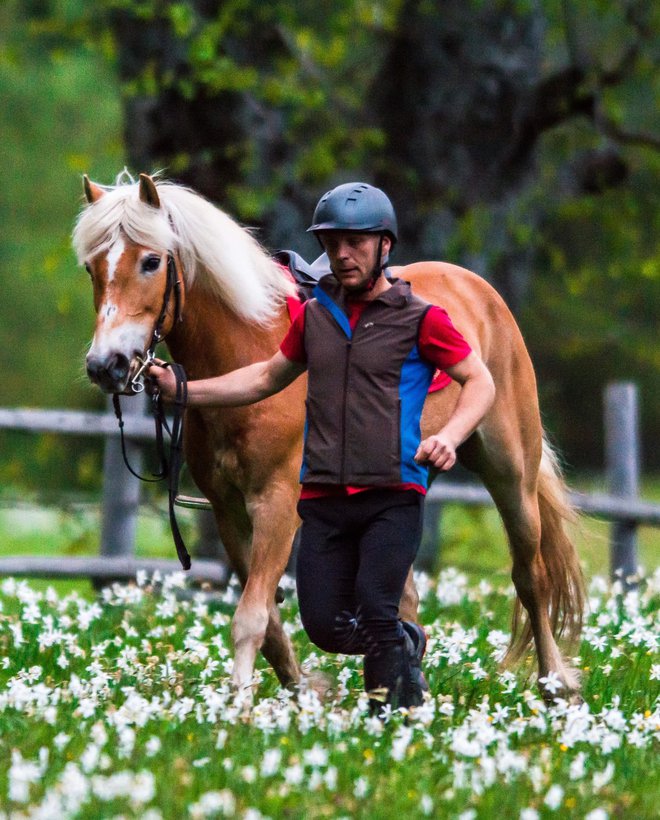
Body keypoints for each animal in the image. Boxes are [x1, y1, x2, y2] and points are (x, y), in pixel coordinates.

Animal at [75, 170, 584, 700]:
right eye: (91, 268)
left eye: (151, 261)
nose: (106, 365)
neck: (246, 349)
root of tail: (480, 292)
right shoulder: (228, 512)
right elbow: (270, 622)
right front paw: (301, 690)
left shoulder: (277, 505)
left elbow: (252, 618)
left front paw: (239, 707)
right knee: (402, 597)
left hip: (511, 475)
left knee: (530, 576)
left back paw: (555, 684)